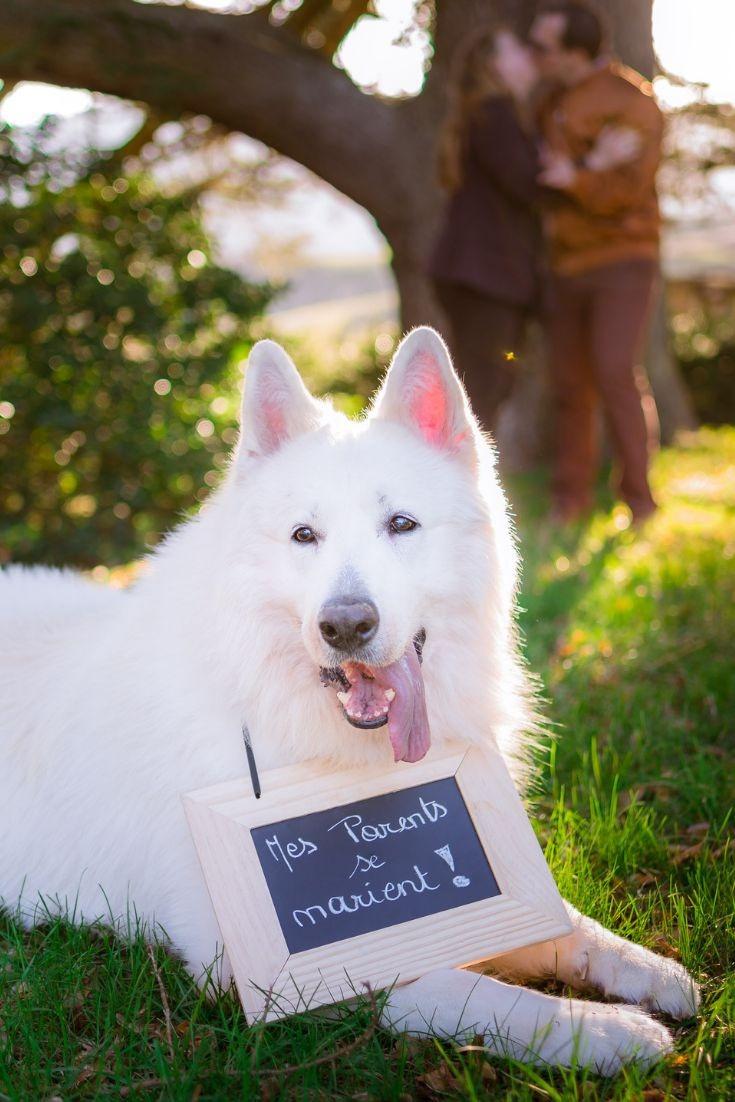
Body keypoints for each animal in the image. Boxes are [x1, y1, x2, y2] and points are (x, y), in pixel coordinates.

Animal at [0, 326, 700, 1075]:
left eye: (402, 524)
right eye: (304, 535)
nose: (344, 626)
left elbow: (568, 925)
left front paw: (649, 970)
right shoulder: (273, 975)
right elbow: (470, 991)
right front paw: (602, 1031)